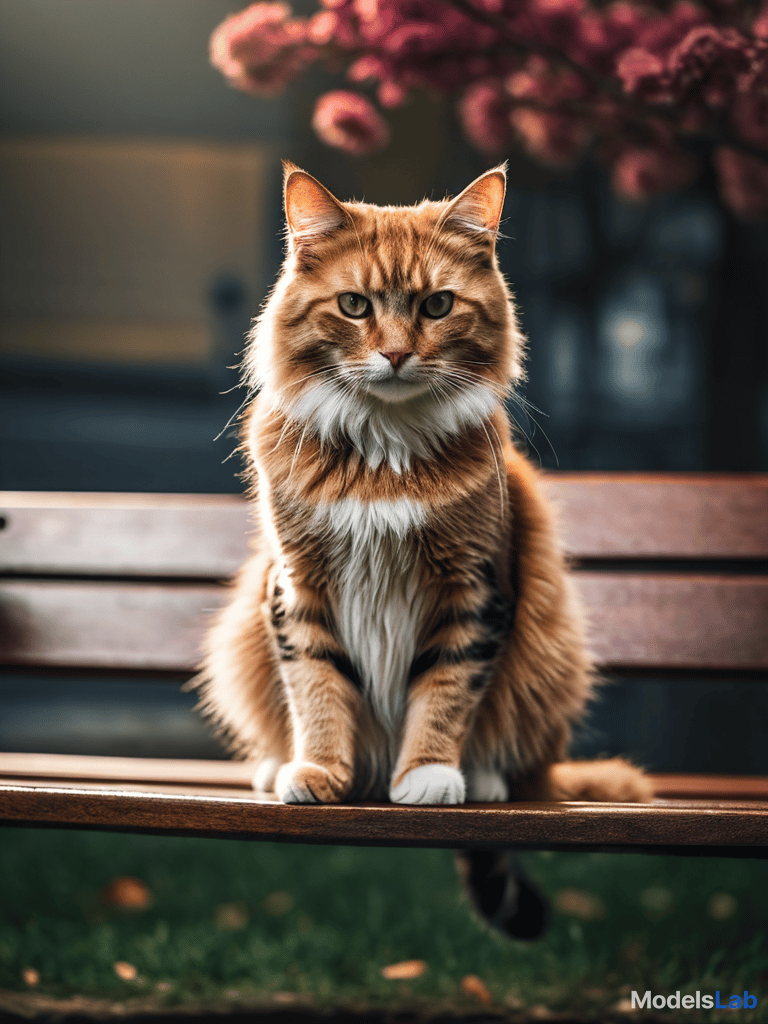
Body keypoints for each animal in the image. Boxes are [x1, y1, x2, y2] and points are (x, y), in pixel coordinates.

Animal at [195, 159, 651, 835]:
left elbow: (446, 691)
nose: (395, 353)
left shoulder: (473, 587)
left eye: (437, 305)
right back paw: (277, 769)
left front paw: (426, 776)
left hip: (550, 654)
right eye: (354, 305)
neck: (384, 454)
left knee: (518, 760)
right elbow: (316, 688)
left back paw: (481, 780)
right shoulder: (298, 585)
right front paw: (320, 772)